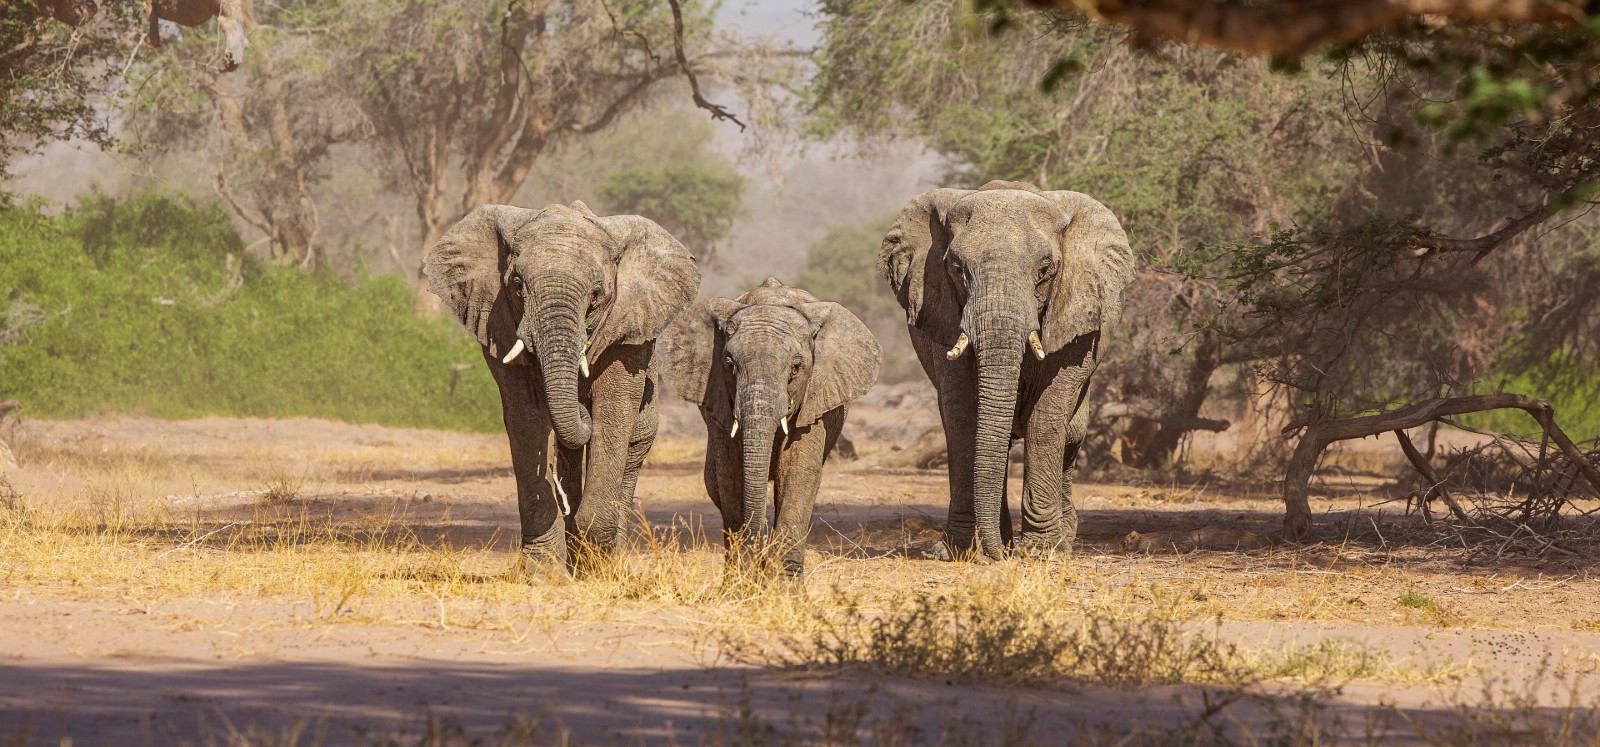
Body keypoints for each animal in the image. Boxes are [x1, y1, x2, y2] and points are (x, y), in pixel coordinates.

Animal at [425, 201, 700, 575]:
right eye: (517, 285)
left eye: (596, 294)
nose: (581, 405)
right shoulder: (498, 322)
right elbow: (525, 415)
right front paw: (544, 573)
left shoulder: (627, 326)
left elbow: (613, 408)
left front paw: (595, 564)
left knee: (634, 446)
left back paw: (604, 559)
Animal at [662, 278, 889, 575]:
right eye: (729, 364)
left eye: (796, 368)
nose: (757, 549)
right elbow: (730, 473)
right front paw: (743, 576)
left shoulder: (816, 399)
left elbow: (797, 470)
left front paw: (783, 581)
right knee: (713, 482)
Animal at [876, 179, 1139, 563]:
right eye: (956, 268)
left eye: (1045, 269)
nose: (999, 556)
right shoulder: (941, 311)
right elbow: (962, 413)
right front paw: (960, 550)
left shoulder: (1072, 311)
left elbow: (1048, 416)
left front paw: (1044, 551)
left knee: (1072, 434)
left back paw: (1060, 539)